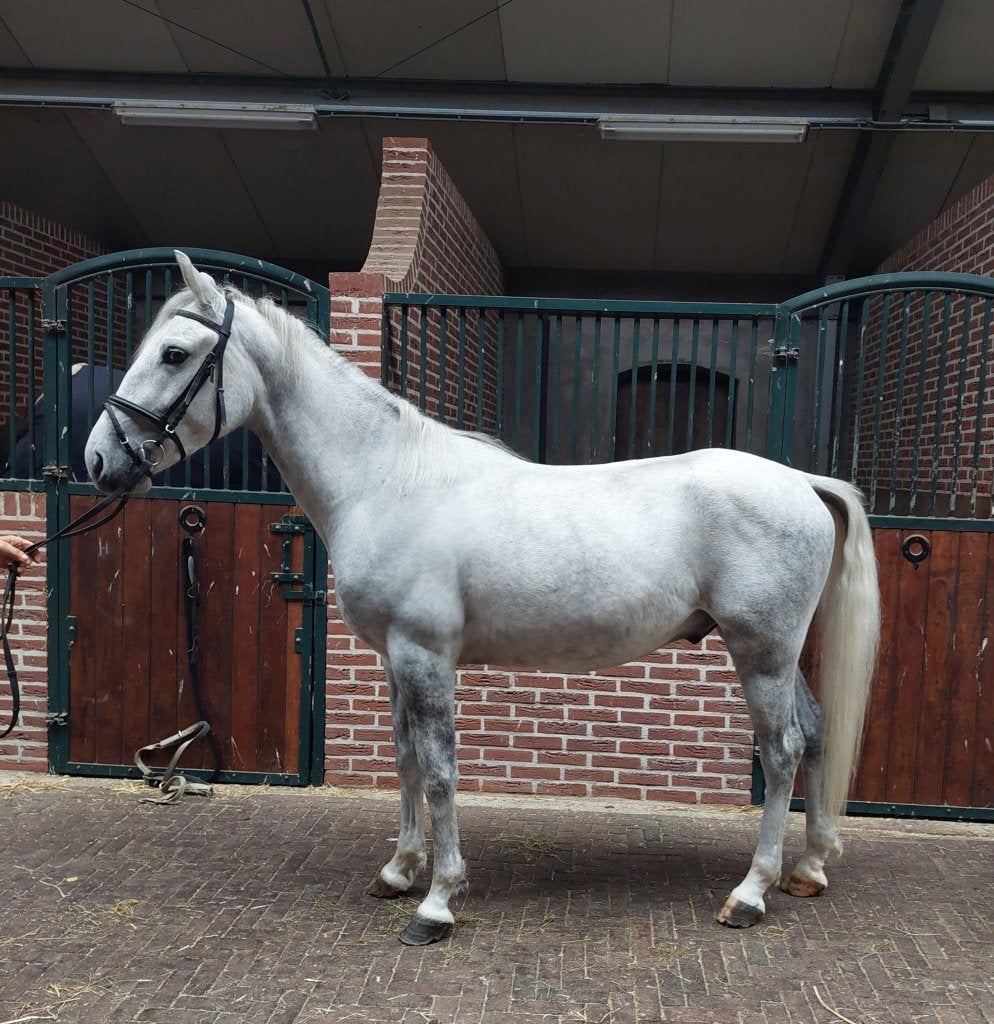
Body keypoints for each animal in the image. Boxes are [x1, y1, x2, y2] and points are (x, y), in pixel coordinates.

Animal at [85, 252, 880, 946]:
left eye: (175, 354)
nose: (98, 459)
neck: (386, 481)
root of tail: (802, 482)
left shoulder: (426, 656)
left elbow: (439, 771)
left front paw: (437, 902)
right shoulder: (395, 661)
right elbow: (407, 760)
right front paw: (399, 872)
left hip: (760, 651)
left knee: (781, 751)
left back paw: (751, 893)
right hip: (775, 653)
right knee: (813, 734)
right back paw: (809, 869)